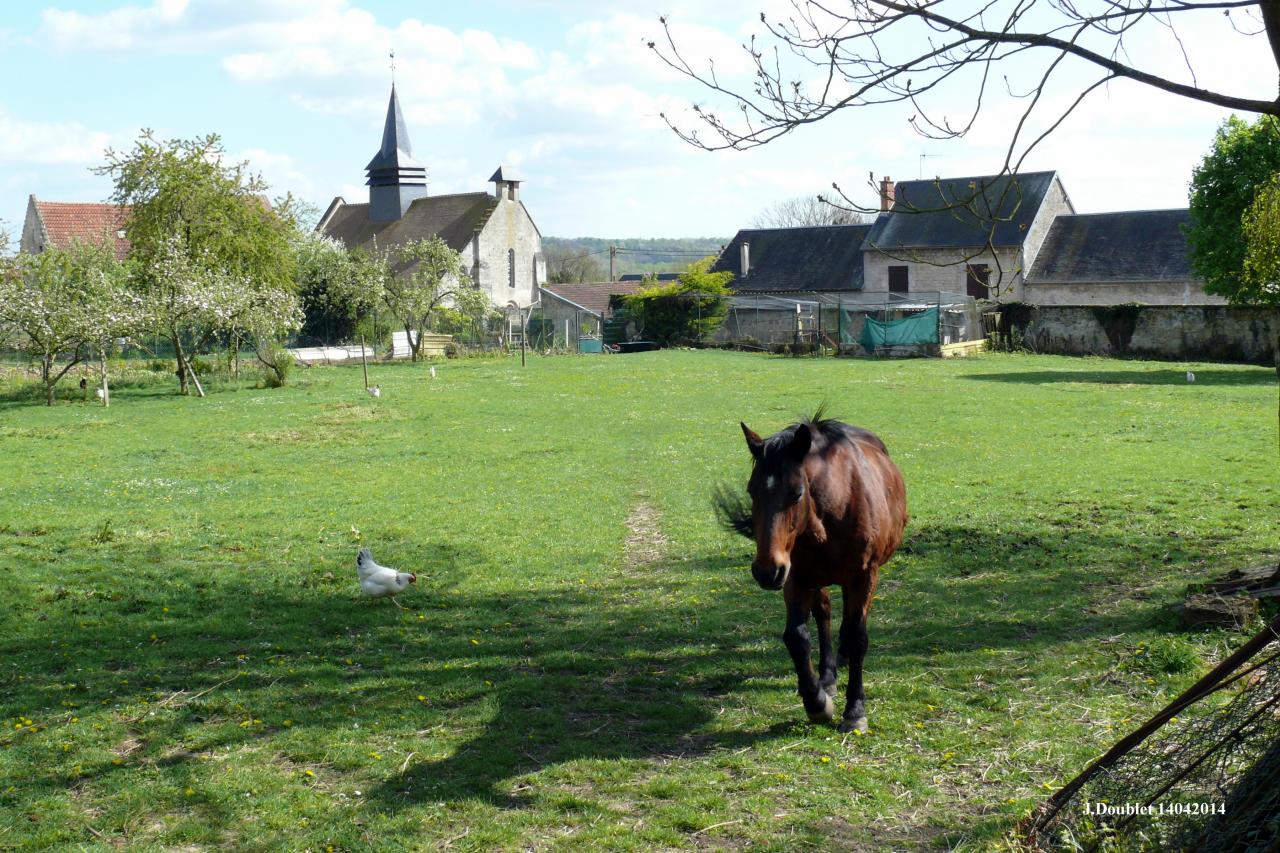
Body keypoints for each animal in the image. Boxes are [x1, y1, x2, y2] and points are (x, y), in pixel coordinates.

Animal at [716, 412, 906, 732]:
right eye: (752, 491)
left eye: (797, 493)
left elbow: (858, 636)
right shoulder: (795, 577)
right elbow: (797, 636)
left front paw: (855, 710)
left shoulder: (865, 575)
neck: (836, 506)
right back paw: (827, 677)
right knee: (824, 614)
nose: (766, 571)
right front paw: (816, 702)